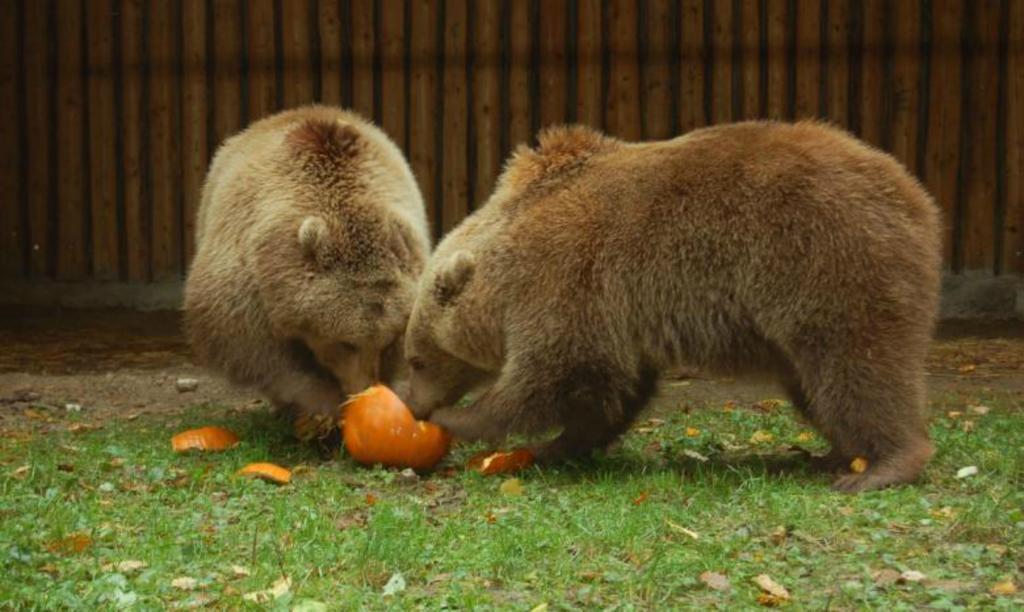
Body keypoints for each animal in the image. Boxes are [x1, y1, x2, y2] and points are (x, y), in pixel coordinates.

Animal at [186, 105, 430, 442]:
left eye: (385, 342)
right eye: (346, 343)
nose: (365, 388)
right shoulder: (248, 280)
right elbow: (254, 347)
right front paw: (321, 405)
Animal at [405, 121, 942, 493]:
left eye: (416, 359)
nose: (413, 405)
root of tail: (916, 197)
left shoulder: (564, 280)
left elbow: (554, 373)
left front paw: (466, 420)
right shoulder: (613, 312)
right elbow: (609, 391)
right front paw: (558, 445)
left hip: (825, 259)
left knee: (857, 365)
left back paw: (880, 466)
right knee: (816, 383)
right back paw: (837, 454)